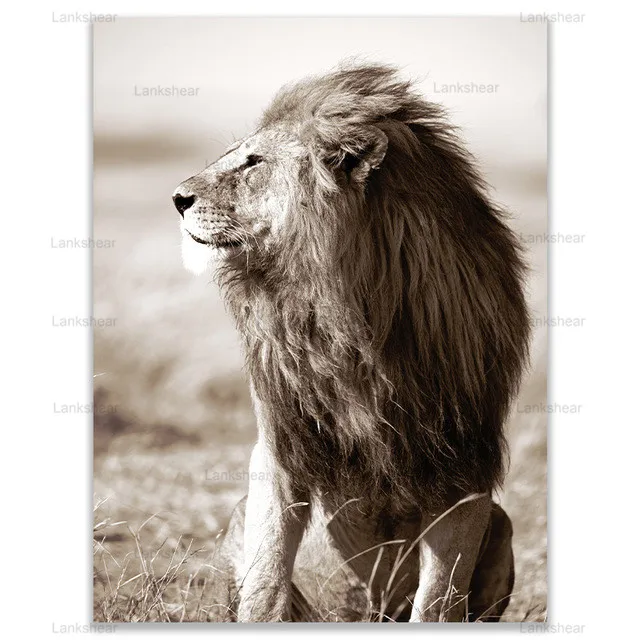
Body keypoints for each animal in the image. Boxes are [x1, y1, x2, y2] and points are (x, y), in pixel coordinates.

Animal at [173, 64, 529, 622]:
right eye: (236, 154)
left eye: (254, 162)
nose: (177, 198)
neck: (344, 317)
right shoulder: (279, 445)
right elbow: (266, 578)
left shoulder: (466, 465)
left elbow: (438, 598)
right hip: (238, 517)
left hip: (503, 523)